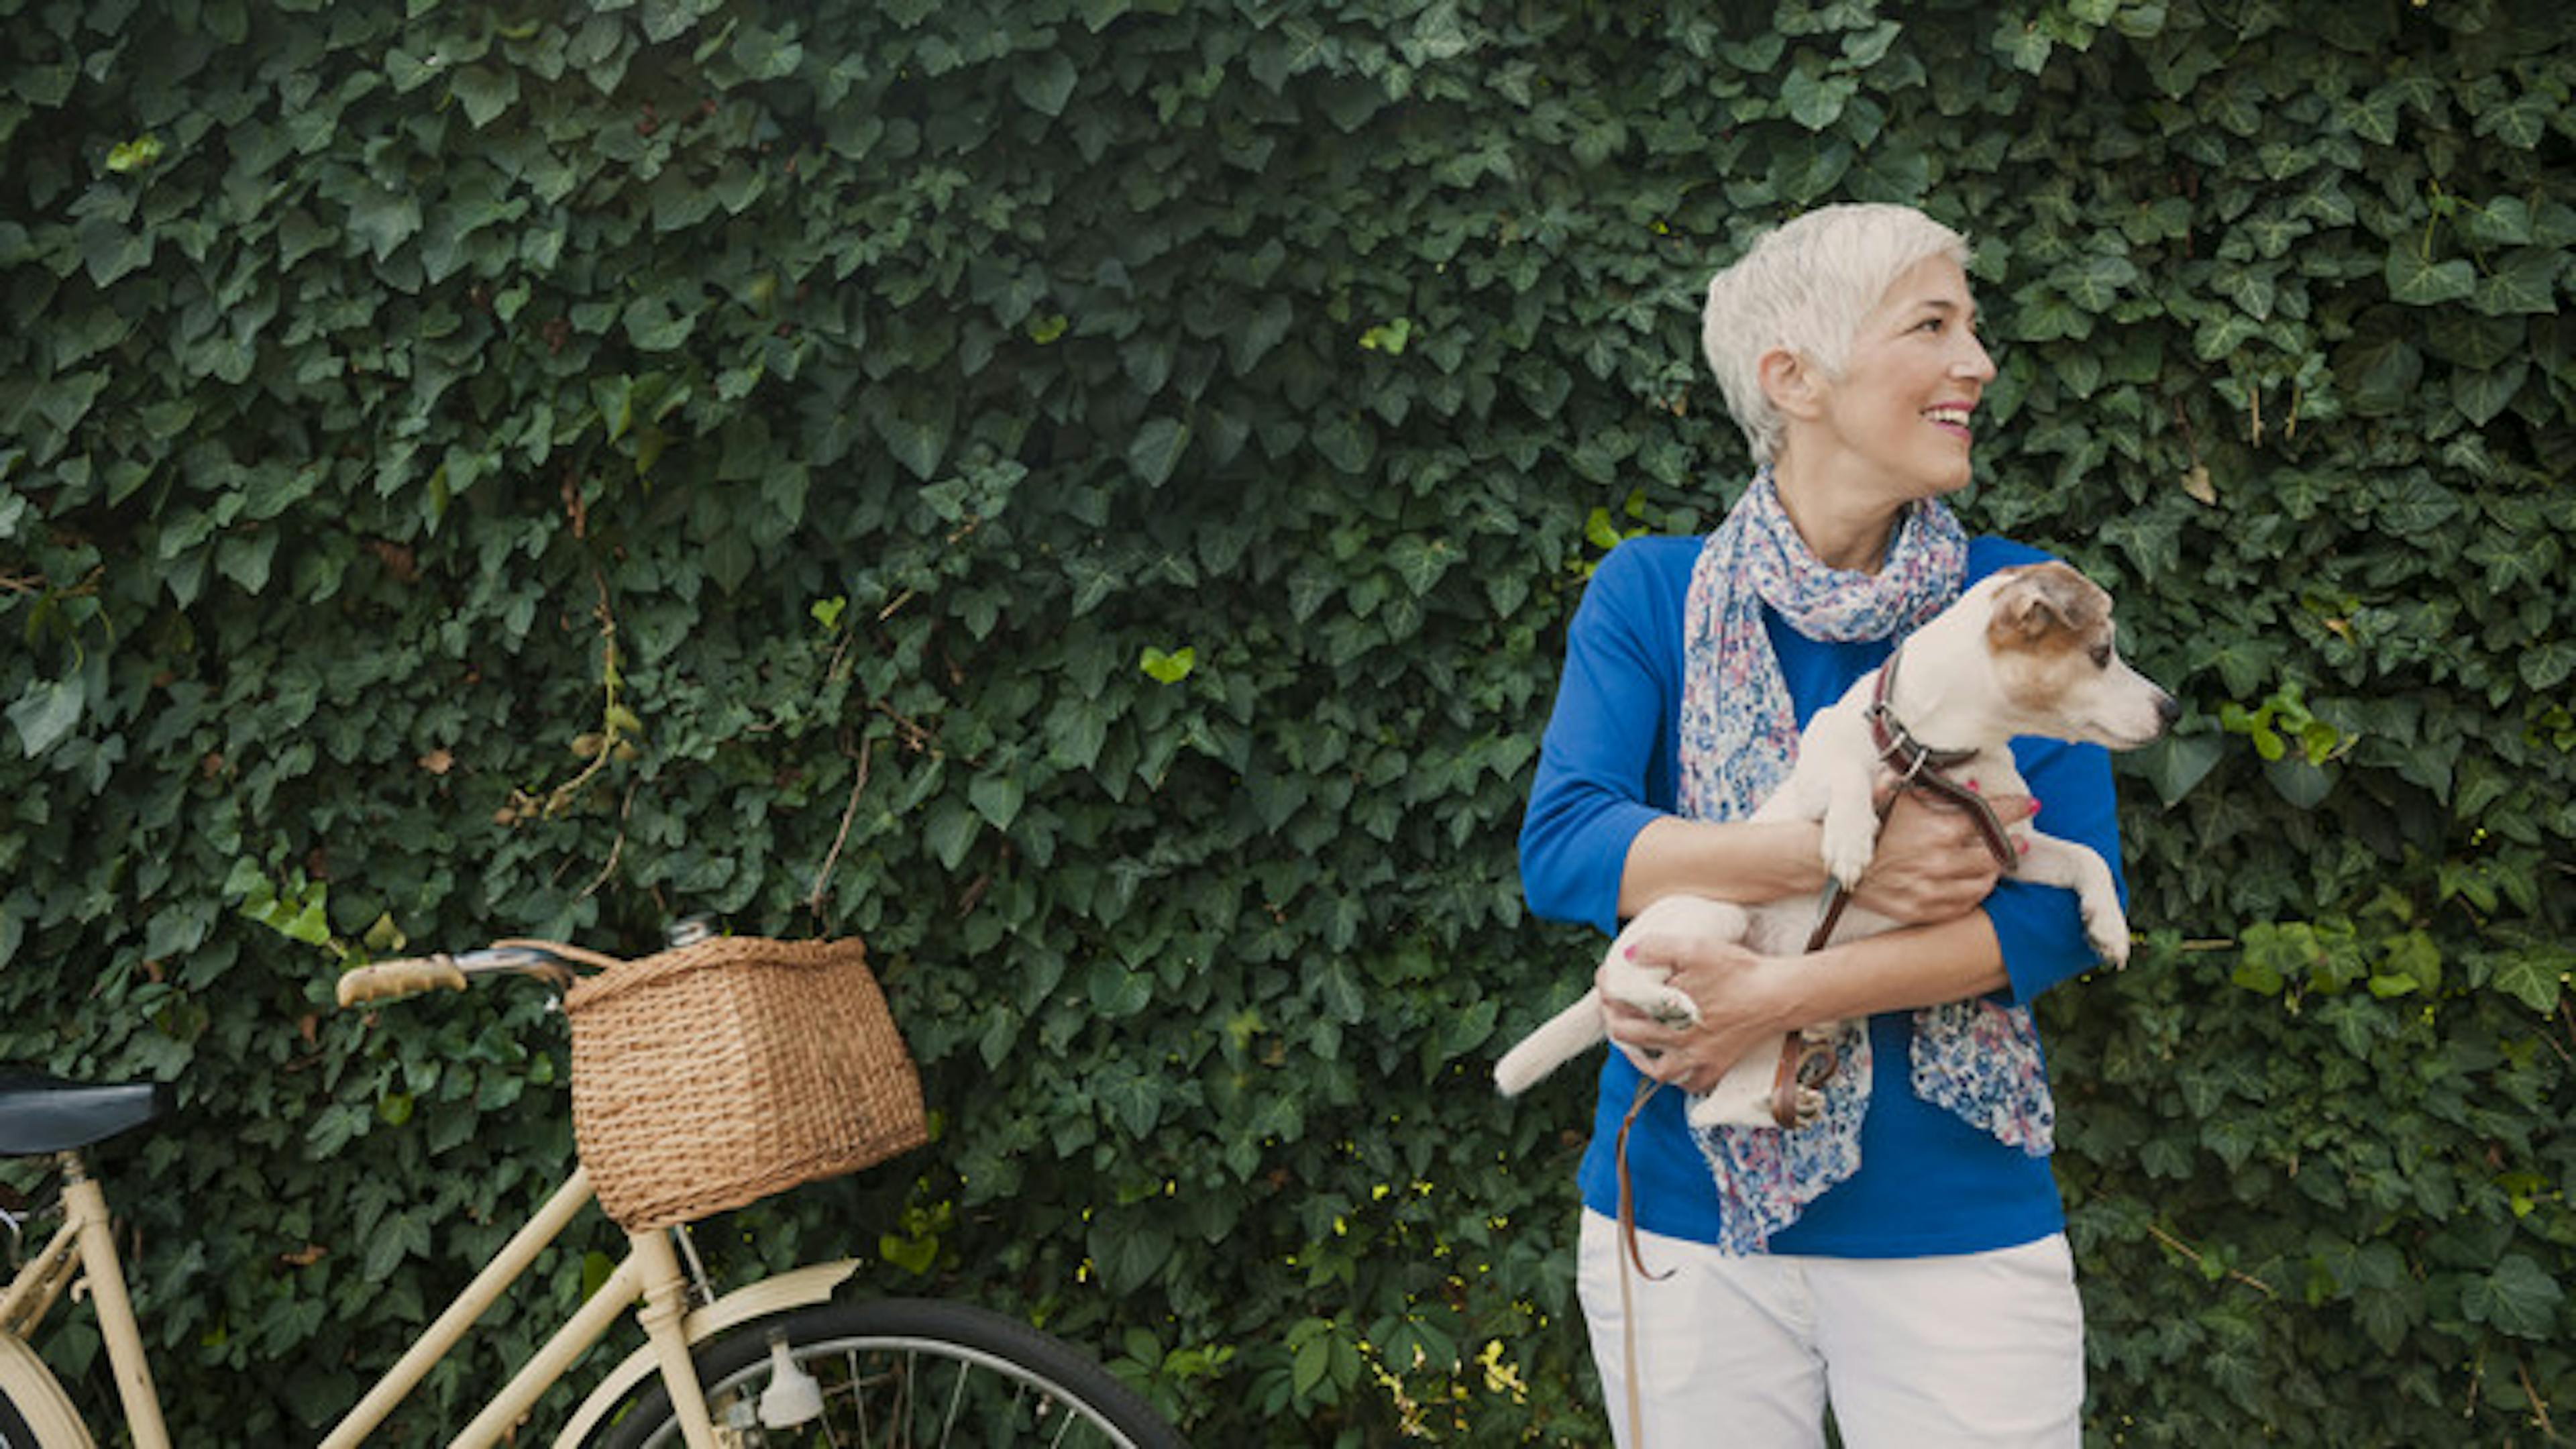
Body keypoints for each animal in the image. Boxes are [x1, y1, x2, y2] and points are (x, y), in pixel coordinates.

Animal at [1494, 561, 2174, 1129]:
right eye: (2102, 652)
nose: (2171, 708)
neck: (1931, 753)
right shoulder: (1822, 768)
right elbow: (1846, 773)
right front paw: (1850, 839)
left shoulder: (2010, 847)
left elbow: (2086, 857)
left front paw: (2109, 926)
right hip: (1711, 916)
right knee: (1619, 971)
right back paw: (1662, 1000)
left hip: (1771, 1029)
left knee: (1712, 1111)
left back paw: (1776, 1103)